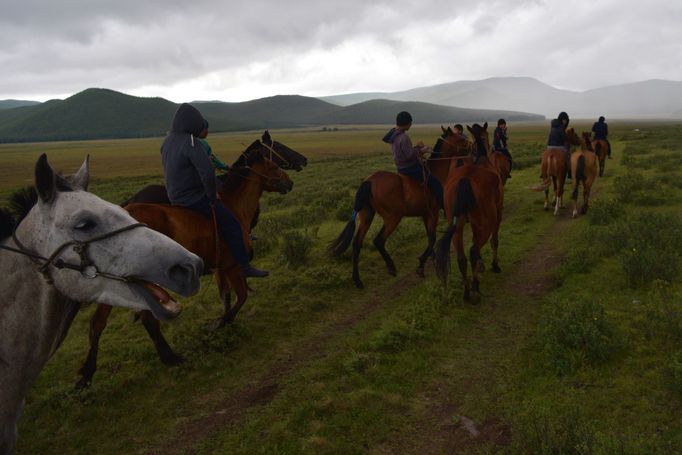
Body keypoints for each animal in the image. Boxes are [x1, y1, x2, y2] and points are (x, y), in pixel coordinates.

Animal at [75, 150, 294, 388]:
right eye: (274, 166)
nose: (289, 182)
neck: (234, 207)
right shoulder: (232, 265)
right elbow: (241, 296)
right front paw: (221, 323)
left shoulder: (219, 268)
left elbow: (226, 295)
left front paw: (224, 321)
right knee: (142, 319)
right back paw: (169, 357)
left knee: (100, 322)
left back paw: (88, 375)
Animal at [326, 130, 470, 288]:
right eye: (461, 138)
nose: (472, 148)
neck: (436, 172)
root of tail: (368, 181)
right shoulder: (433, 213)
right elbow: (432, 238)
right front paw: (421, 265)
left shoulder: (425, 214)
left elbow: (429, 237)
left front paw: (430, 258)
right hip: (393, 218)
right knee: (378, 240)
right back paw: (391, 267)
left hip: (367, 216)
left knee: (357, 244)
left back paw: (357, 280)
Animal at [432, 124, 502, 302]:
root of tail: (465, 180)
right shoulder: (498, 213)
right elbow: (495, 241)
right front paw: (494, 265)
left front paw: (481, 265)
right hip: (486, 222)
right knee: (473, 250)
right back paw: (476, 286)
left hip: (457, 227)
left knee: (462, 258)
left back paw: (466, 292)